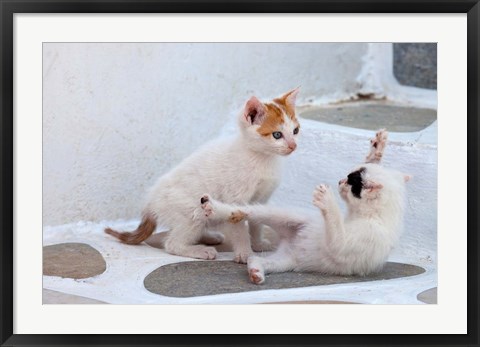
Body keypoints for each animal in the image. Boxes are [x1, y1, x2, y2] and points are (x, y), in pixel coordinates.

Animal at [105, 88, 300, 262]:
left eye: (296, 131)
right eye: (277, 135)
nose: (293, 146)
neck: (262, 158)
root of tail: (150, 203)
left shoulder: (261, 198)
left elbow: (257, 221)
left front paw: (258, 244)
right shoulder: (235, 198)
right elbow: (239, 228)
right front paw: (245, 254)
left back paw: (210, 236)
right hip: (192, 210)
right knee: (172, 243)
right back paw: (200, 250)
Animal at [201, 129, 410, 284]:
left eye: (351, 181)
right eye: (349, 175)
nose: (340, 181)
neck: (373, 216)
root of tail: (289, 242)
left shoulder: (352, 243)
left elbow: (337, 235)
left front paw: (327, 199)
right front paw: (377, 149)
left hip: (285, 261)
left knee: (257, 258)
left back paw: (255, 271)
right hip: (285, 216)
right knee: (249, 212)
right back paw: (218, 209)